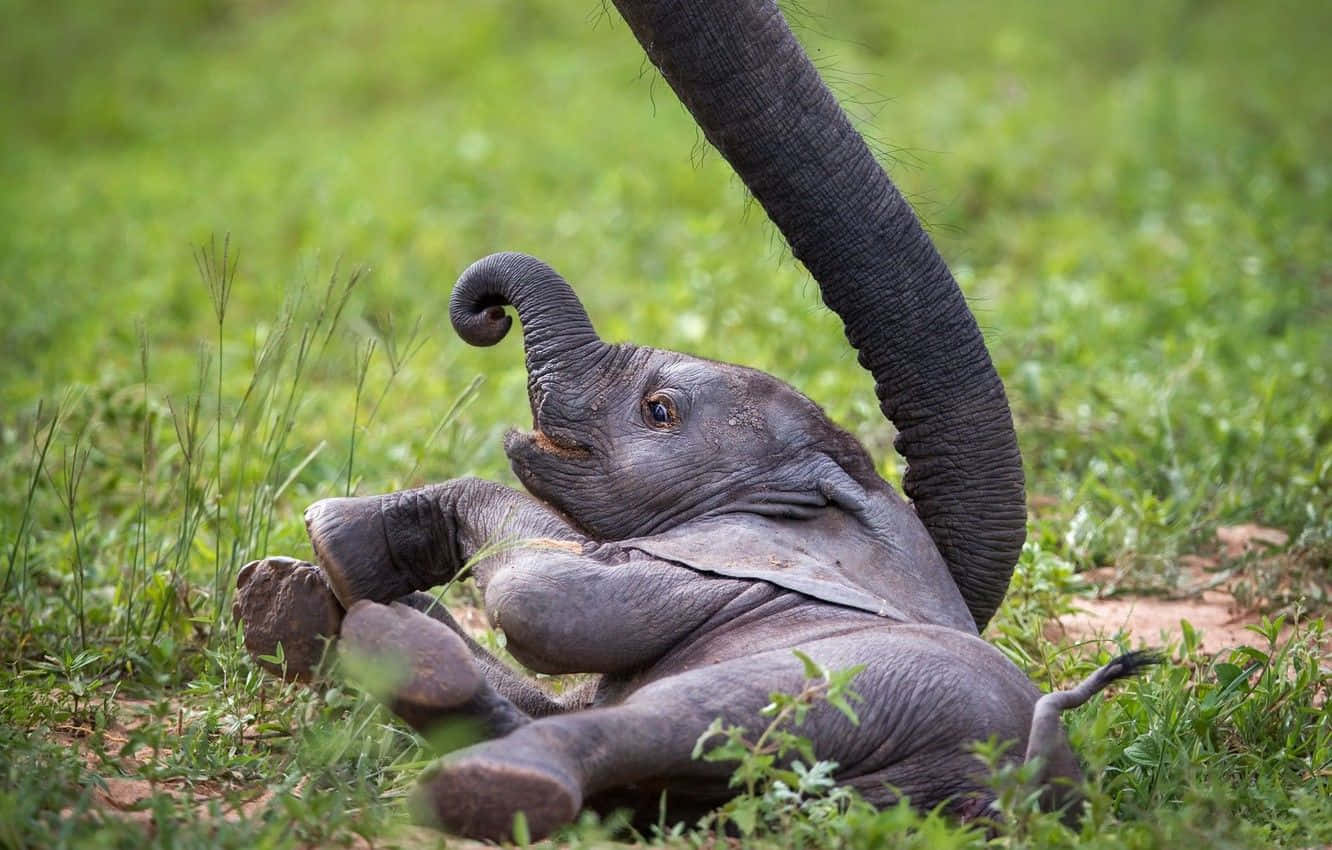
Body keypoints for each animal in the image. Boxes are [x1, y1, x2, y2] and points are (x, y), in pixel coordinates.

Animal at [234, 0, 1158, 842]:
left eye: (659, 410)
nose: (485, 310)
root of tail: (1018, 775)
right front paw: (299, 584)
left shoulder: (725, 564)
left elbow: (556, 600)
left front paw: (334, 539)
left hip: (870, 685)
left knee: (680, 716)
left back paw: (479, 773)